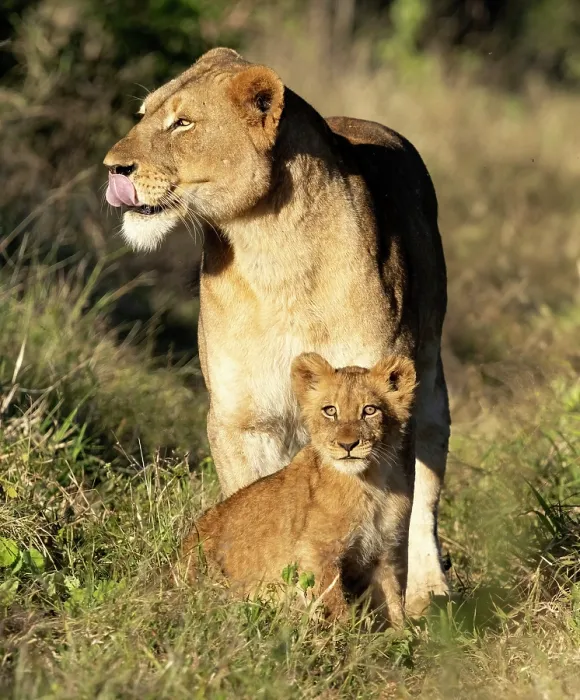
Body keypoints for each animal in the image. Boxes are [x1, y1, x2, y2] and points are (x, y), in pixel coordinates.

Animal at [177, 353, 416, 626]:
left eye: (369, 410)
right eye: (330, 410)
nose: (348, 445)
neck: (370, 482)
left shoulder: (381, 553)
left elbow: (392, 602)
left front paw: (403, 634)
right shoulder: (316, 551)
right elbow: (333, 601)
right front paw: (347, 634)